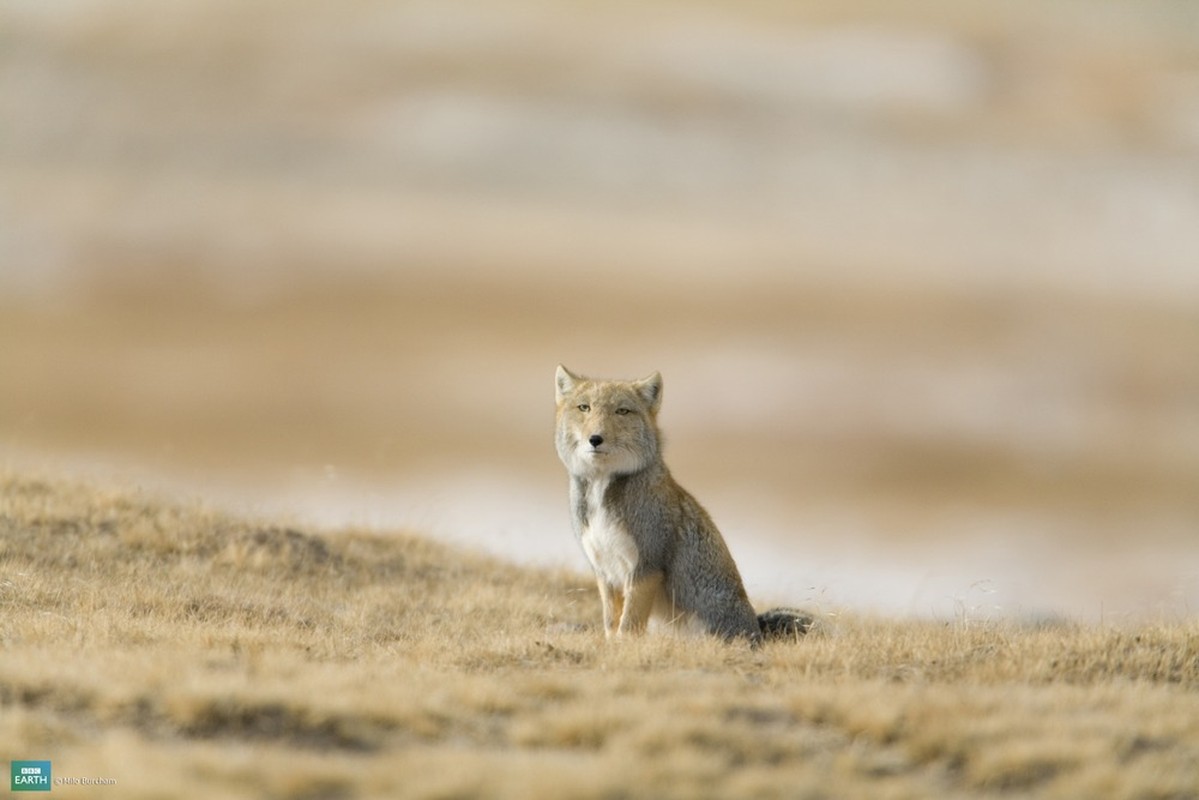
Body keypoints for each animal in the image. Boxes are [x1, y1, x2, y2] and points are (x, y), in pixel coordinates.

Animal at [556, 367, 810, 647]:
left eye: (622, 411)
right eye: (584, 407)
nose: (595, 439)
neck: (602, 492)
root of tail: (757, 631)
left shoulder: (646, 565)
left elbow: (629, 623)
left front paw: (623, 645)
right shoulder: (605, 570)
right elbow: (612, 622)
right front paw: (612, 645)